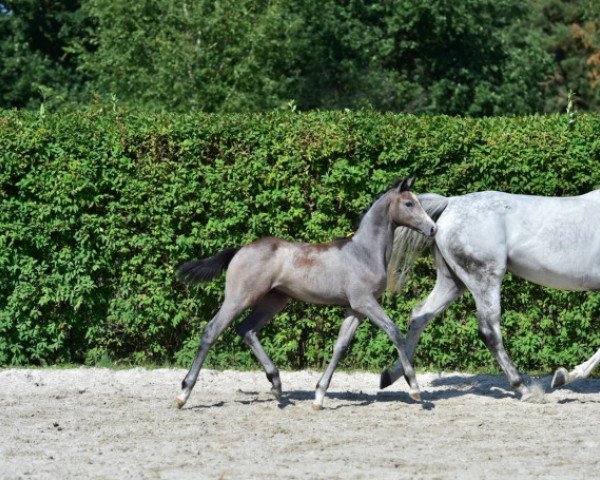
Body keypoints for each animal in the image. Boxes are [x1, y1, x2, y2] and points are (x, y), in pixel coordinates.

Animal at [177, 178, 436, 410]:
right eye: (409, 204)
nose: (433, 228)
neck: (363, 253)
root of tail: (239, 250)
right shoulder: (365, 302)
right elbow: (394, 332)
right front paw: (414, 388)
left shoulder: (356, 309)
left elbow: (341, 345)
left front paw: (319, 396)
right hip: (239, 298)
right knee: (212, 331)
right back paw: (183, 394)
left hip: (274, 300)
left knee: (247, 329)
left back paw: (276, 385)